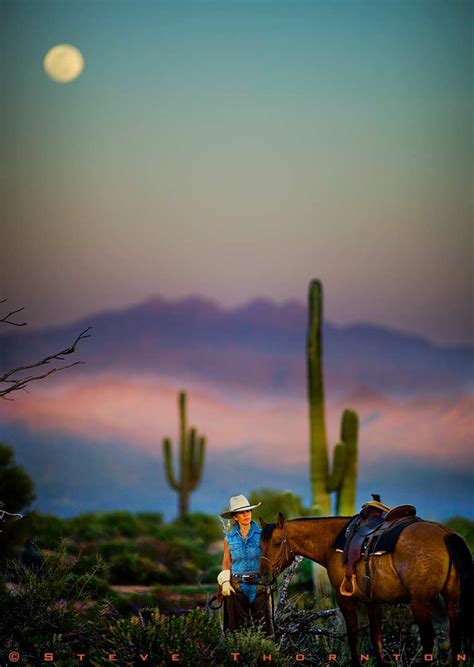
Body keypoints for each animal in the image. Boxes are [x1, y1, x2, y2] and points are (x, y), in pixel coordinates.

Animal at [260, 516, 474, 664]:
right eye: (260, 544)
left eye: (277, 543)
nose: (263, 575)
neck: (332, 542)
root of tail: (446, 534)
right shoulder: (373, 602)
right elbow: (376, 639)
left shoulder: (345, 600)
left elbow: (353, 639)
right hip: (453, 599)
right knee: (455, 636)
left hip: (420, 603)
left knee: (429, 639)